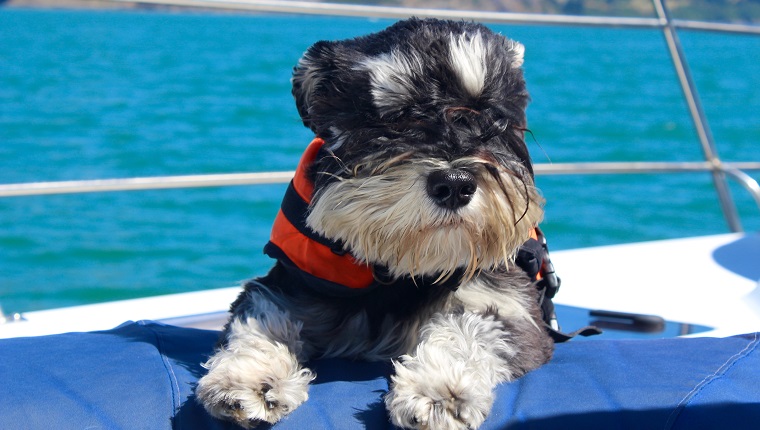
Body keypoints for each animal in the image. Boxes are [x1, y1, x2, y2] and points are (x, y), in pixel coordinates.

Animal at [196, 17, 552, 430]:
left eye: (494, 116)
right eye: (392, 118)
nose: (454, 184)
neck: (400, 270)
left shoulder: (510, 307)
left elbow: (470, 331)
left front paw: (439, 389)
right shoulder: (288, 289)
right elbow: (261, 318)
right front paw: (250, 376)